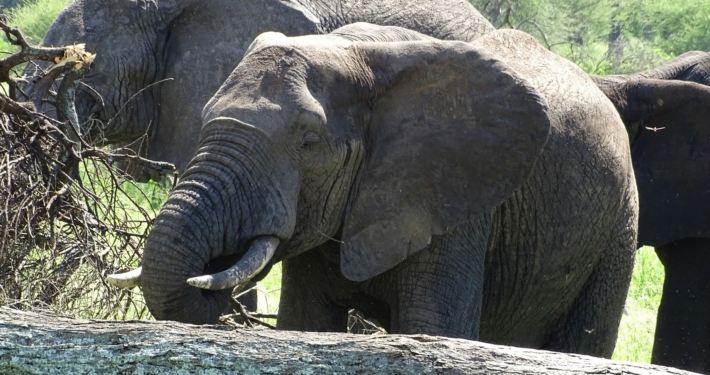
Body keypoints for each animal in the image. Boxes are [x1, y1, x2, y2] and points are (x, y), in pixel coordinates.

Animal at [110, 23, 640, 358]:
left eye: (308, 142)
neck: (354, 52)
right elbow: (305, 323)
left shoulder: (454, 190)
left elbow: (434, 328)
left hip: (620, 224)